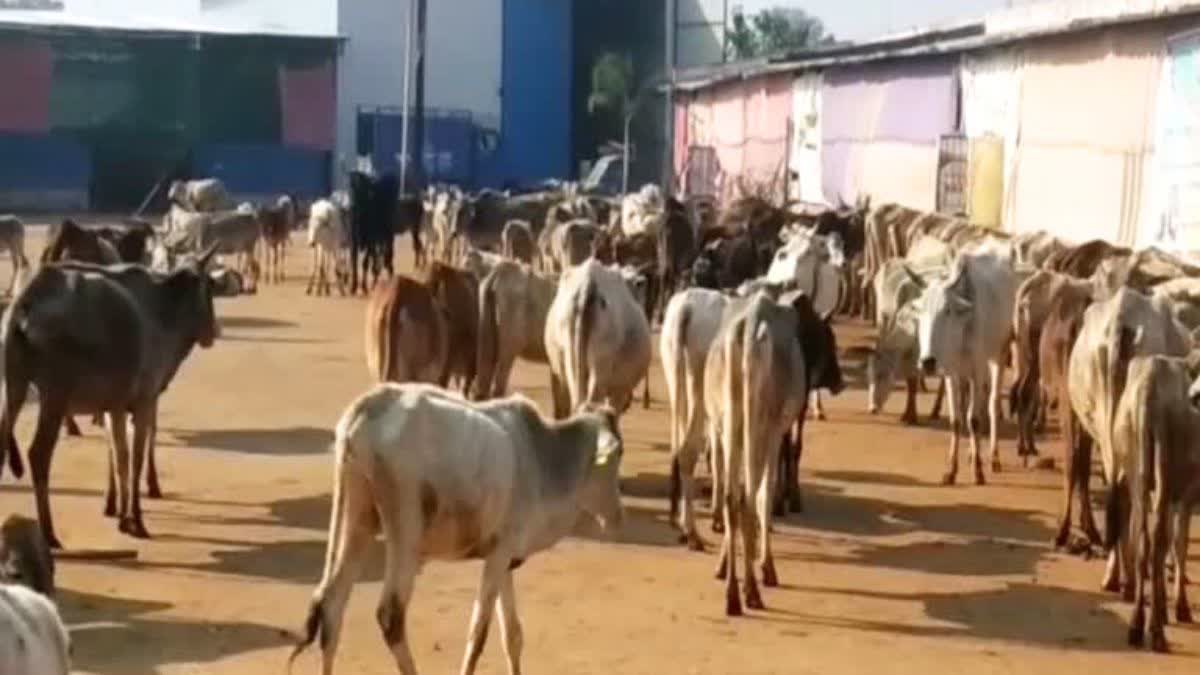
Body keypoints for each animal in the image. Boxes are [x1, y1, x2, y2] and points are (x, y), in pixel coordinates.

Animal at [0, 248, 220, 547]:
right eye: (209, 287)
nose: (213, 332)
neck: (163, 311)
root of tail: (26, 299)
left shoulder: (113, 405)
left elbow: (119, 457)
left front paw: (119, 513)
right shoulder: (144, 400)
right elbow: (135, 458)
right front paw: (136, 518)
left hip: (13, 386)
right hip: (54, 395)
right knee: (38, 455)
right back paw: (49, 533)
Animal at [292, 384, 628, 672]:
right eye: (618, 455)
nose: (617, 518)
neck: (541, 458)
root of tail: (367, 407)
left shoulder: (504, 559)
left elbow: (513, 635)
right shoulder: (498, 555)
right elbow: (478, 635)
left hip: (357, 519)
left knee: (331, 605)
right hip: (405, 536)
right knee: (390, 616)